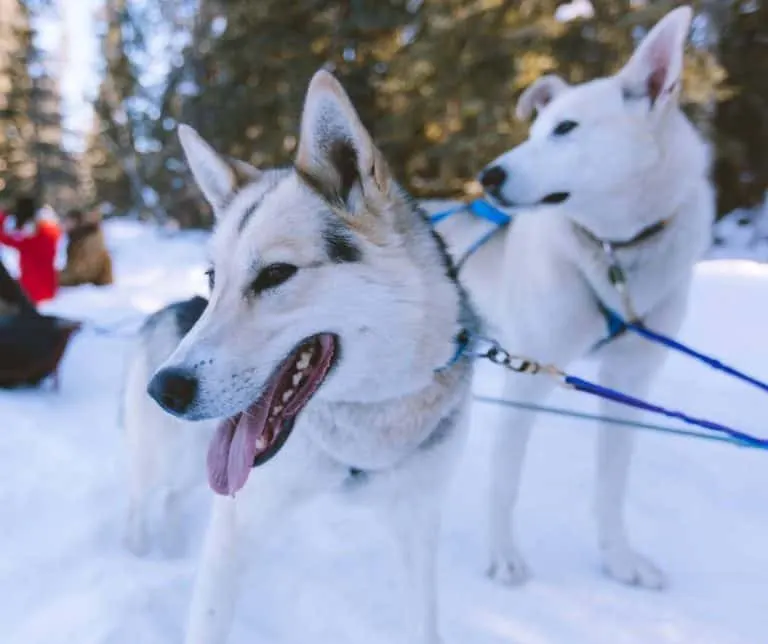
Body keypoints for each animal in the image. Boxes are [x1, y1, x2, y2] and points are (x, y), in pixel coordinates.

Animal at [144, 70, 476, 644]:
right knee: (153, 498)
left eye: (275, 274)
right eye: (214, 277)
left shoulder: (417, 524)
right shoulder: (235, 526)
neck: (365, 425)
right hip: (172, 463)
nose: (166, 389)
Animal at [436, 5, 716, 588]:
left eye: (566, 128)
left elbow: (612, 486)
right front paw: (504, 554)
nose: (487, 175)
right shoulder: (531, 371)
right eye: (535, 129)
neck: (614, 256)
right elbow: (505, 479)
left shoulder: (629, 382)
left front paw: (619, 558)